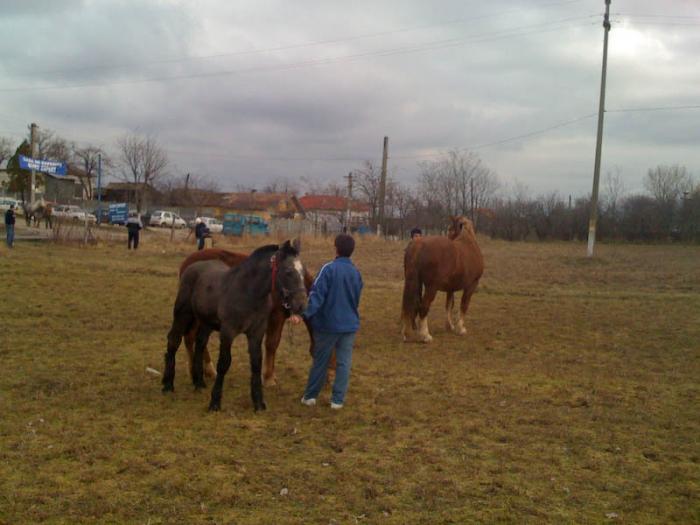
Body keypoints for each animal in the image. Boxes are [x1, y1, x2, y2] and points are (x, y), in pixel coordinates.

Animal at [164, 239, 308, 412]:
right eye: (288, 271)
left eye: (303, 272)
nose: (301, 304)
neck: (248, 293)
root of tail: (190, 267)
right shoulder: (228, 332)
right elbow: (224, 363)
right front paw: (215, 402)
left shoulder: (256, 333)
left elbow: (256, 363)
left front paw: (258, 402)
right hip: (183, 315)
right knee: (174, 340)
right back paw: (167, 384)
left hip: (206, 323)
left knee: (200, 344)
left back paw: (199, 383)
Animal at [180, 246, 326, 384]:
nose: (327, 381)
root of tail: (187, 262)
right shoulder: (276, 317)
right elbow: (272, 344)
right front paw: (268, 377)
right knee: (190, 337)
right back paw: (199, 371)